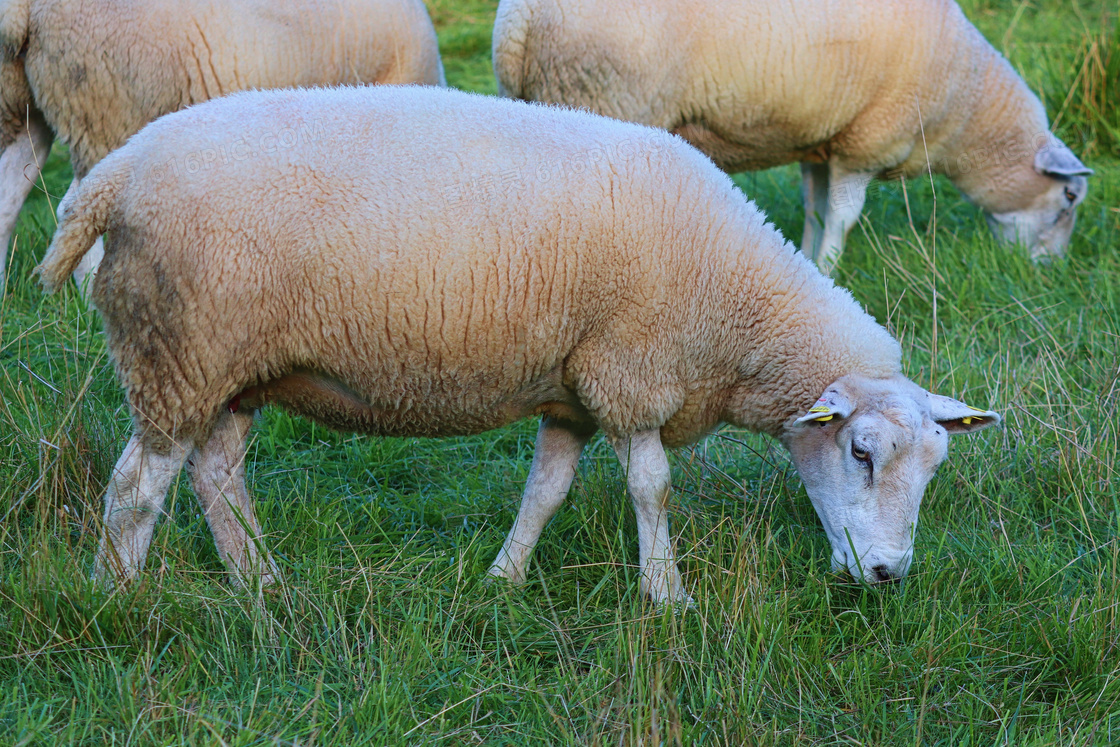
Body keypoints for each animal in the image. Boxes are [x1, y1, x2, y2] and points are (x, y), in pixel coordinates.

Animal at [35, 84, 1003, 604]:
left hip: (233, 368)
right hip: (177, 350)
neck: (740, 308)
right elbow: (651, 486)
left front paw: (504, 577)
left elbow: (548, 490)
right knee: (137, 486)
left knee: (216, 475)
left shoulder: (571, 387)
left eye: (935, 467)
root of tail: (111, 175)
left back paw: (263, 585)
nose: (889, 572)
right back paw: (119, 599)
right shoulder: (628, 371)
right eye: (861, 450)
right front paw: (667, 595)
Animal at [492, 0, 1093, 272]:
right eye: (1068, 197)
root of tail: (519, 21)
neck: (964, 104)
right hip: (600, 100)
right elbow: (844, 217)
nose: (1050, 270)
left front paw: (808, 260)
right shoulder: (863, 145)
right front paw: (830, 268)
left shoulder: (822, 144)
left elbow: (814, 210)